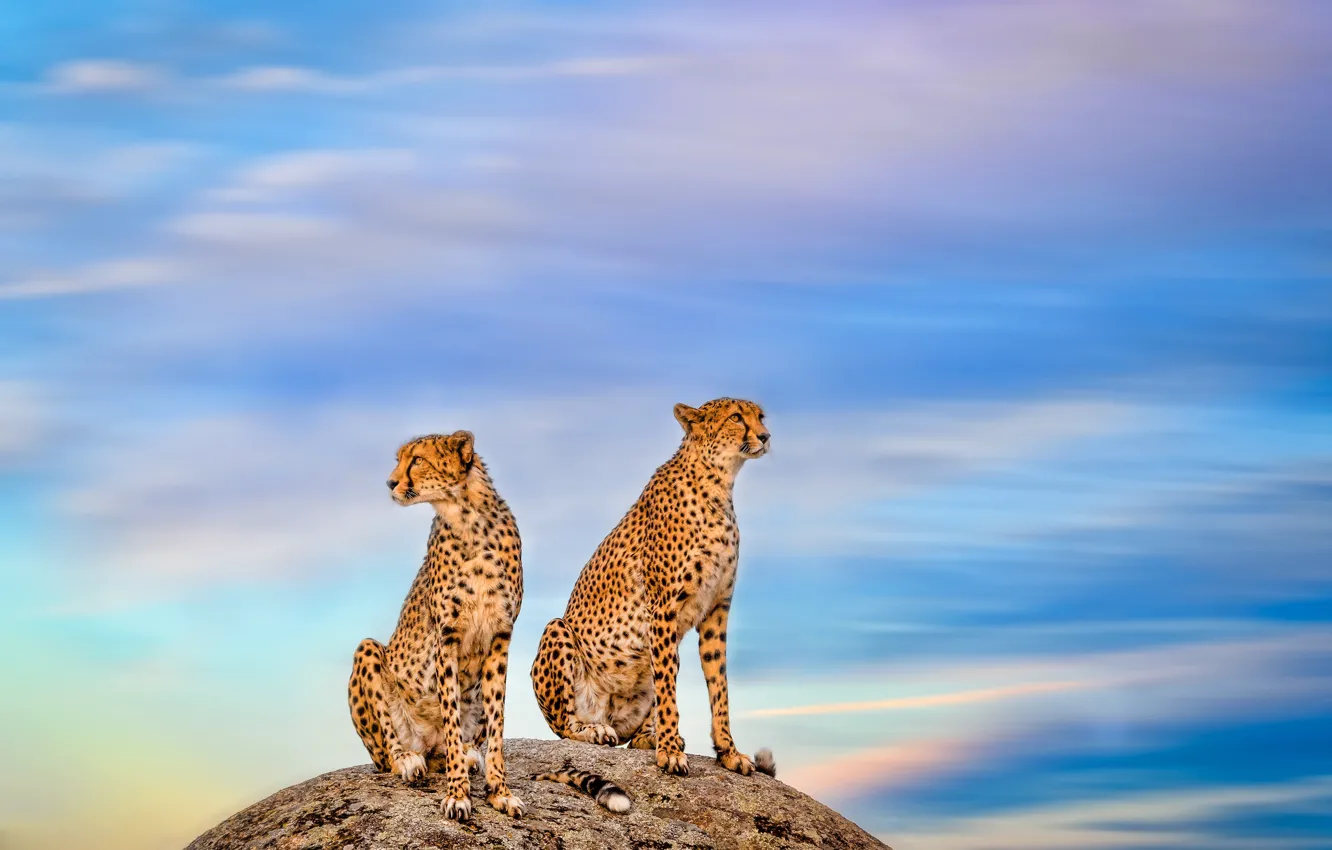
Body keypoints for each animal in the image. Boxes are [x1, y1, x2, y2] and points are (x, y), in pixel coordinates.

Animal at [348, 430, 525, 821]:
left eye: (417, 460)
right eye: (399, 459)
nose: (390, 482)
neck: (468, 520)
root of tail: (427, 745)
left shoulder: (500, 638)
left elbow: (497, 723)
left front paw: (500, 792)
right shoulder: (447, 638)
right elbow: (451, 715)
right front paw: (458, 794)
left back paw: (469, 756)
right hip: (368, 650)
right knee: (389, 754)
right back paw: (408, 759)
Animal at [530, 397, 775, 811]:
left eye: (760, 416)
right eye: (736, 417)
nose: (766, 436)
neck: (719, 482)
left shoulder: (716, 611)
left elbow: (719, 685)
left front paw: (727, 752)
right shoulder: (662, 610)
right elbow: (670, 685)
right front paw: (671, 752)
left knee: (635, 727)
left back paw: (647, 736)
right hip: (558, 631)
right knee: (565, 727)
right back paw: (596, 731)